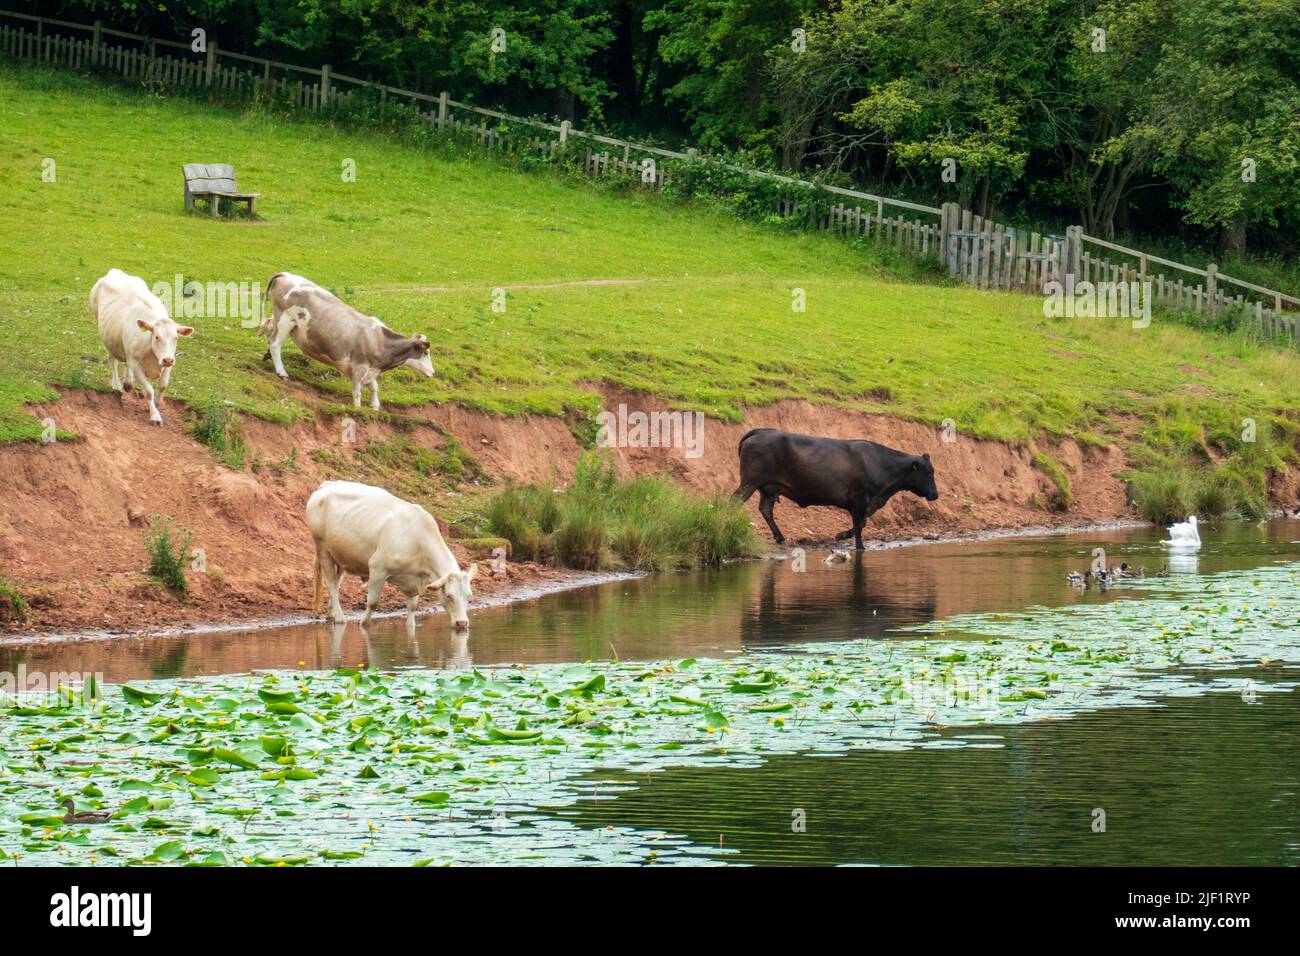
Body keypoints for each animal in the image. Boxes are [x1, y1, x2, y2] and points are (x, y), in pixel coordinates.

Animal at [90, 265, 195, 421]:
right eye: (157, 337)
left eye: (176, 338)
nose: (167, 360)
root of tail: (115, 271)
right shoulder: (136, 365)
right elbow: (149, 391)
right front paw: (155, 415)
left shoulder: (169, 362)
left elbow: (163, 386)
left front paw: (157, 404)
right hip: (106, 337)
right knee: (113, 360)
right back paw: (116, 385)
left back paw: (127, 383)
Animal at [260, 274, 436, 413]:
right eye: (426, 353)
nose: (434, 373)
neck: (379, 341)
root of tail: (285, 274)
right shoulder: (359, 366)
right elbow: (357, 391)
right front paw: (358, 409)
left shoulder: (371, 370)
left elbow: (374, 387)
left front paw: (375, 406)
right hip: (286, 319)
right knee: (275, 343)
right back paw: (281, 372)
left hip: (279, 319)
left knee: (269, 329)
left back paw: (267, 355)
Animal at [305, 481, 478, 632]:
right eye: (449, 596)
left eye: (469, 596)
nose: (462, 623)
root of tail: (327, 485)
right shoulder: (377, 567)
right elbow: (372, 602)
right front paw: (363, 623)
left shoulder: (414, 580)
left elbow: (412, 607)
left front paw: (411, 626)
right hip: (322, 548)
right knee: (331, 583)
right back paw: (340, 618)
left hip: (341, 555)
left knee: (337, 581)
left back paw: (331, 614)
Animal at [733, 429, 935, 548]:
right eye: (928, 472)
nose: (935, 494)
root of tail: (761, 431)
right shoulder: (859, 497)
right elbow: (859, 524)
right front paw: (859, 546)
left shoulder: (866, 502)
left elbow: (862, 522)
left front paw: (841, 535)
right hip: (750, 482)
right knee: (734, 502)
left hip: (767, 488)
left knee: (765, 509)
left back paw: (780, 537)